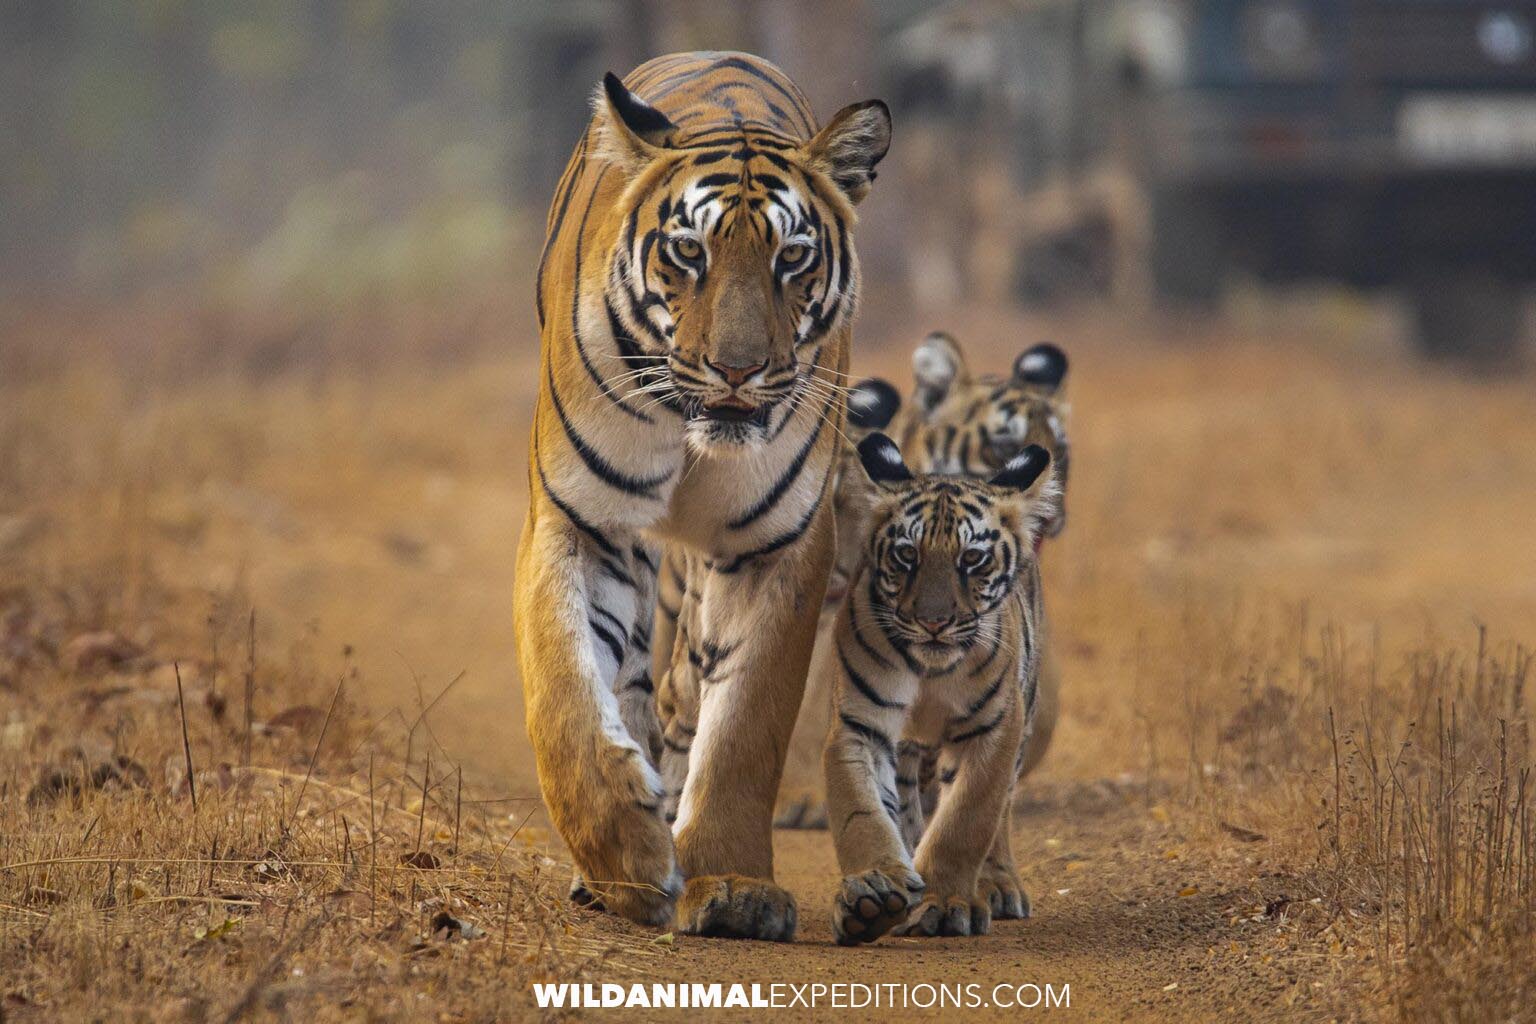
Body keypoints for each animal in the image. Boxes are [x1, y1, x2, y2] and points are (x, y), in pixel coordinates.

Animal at [514, 51, 891, 941]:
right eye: (688, 251)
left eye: (793, 257)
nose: (736, 369)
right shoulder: (580, 521)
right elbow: (564, 694)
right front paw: (626, 855)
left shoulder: (778, 546)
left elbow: (745, 727)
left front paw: (730, 886)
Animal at [824, 433, 1059, 944]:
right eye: (906, 554)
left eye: (971, 558)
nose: (933, 622)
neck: (931, 674)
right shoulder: (861, 725)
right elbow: (862, 813)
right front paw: (874, 894)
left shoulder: (995, 728)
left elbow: (966, 819)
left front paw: (945, 904)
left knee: (998, 811)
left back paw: (996, 884)